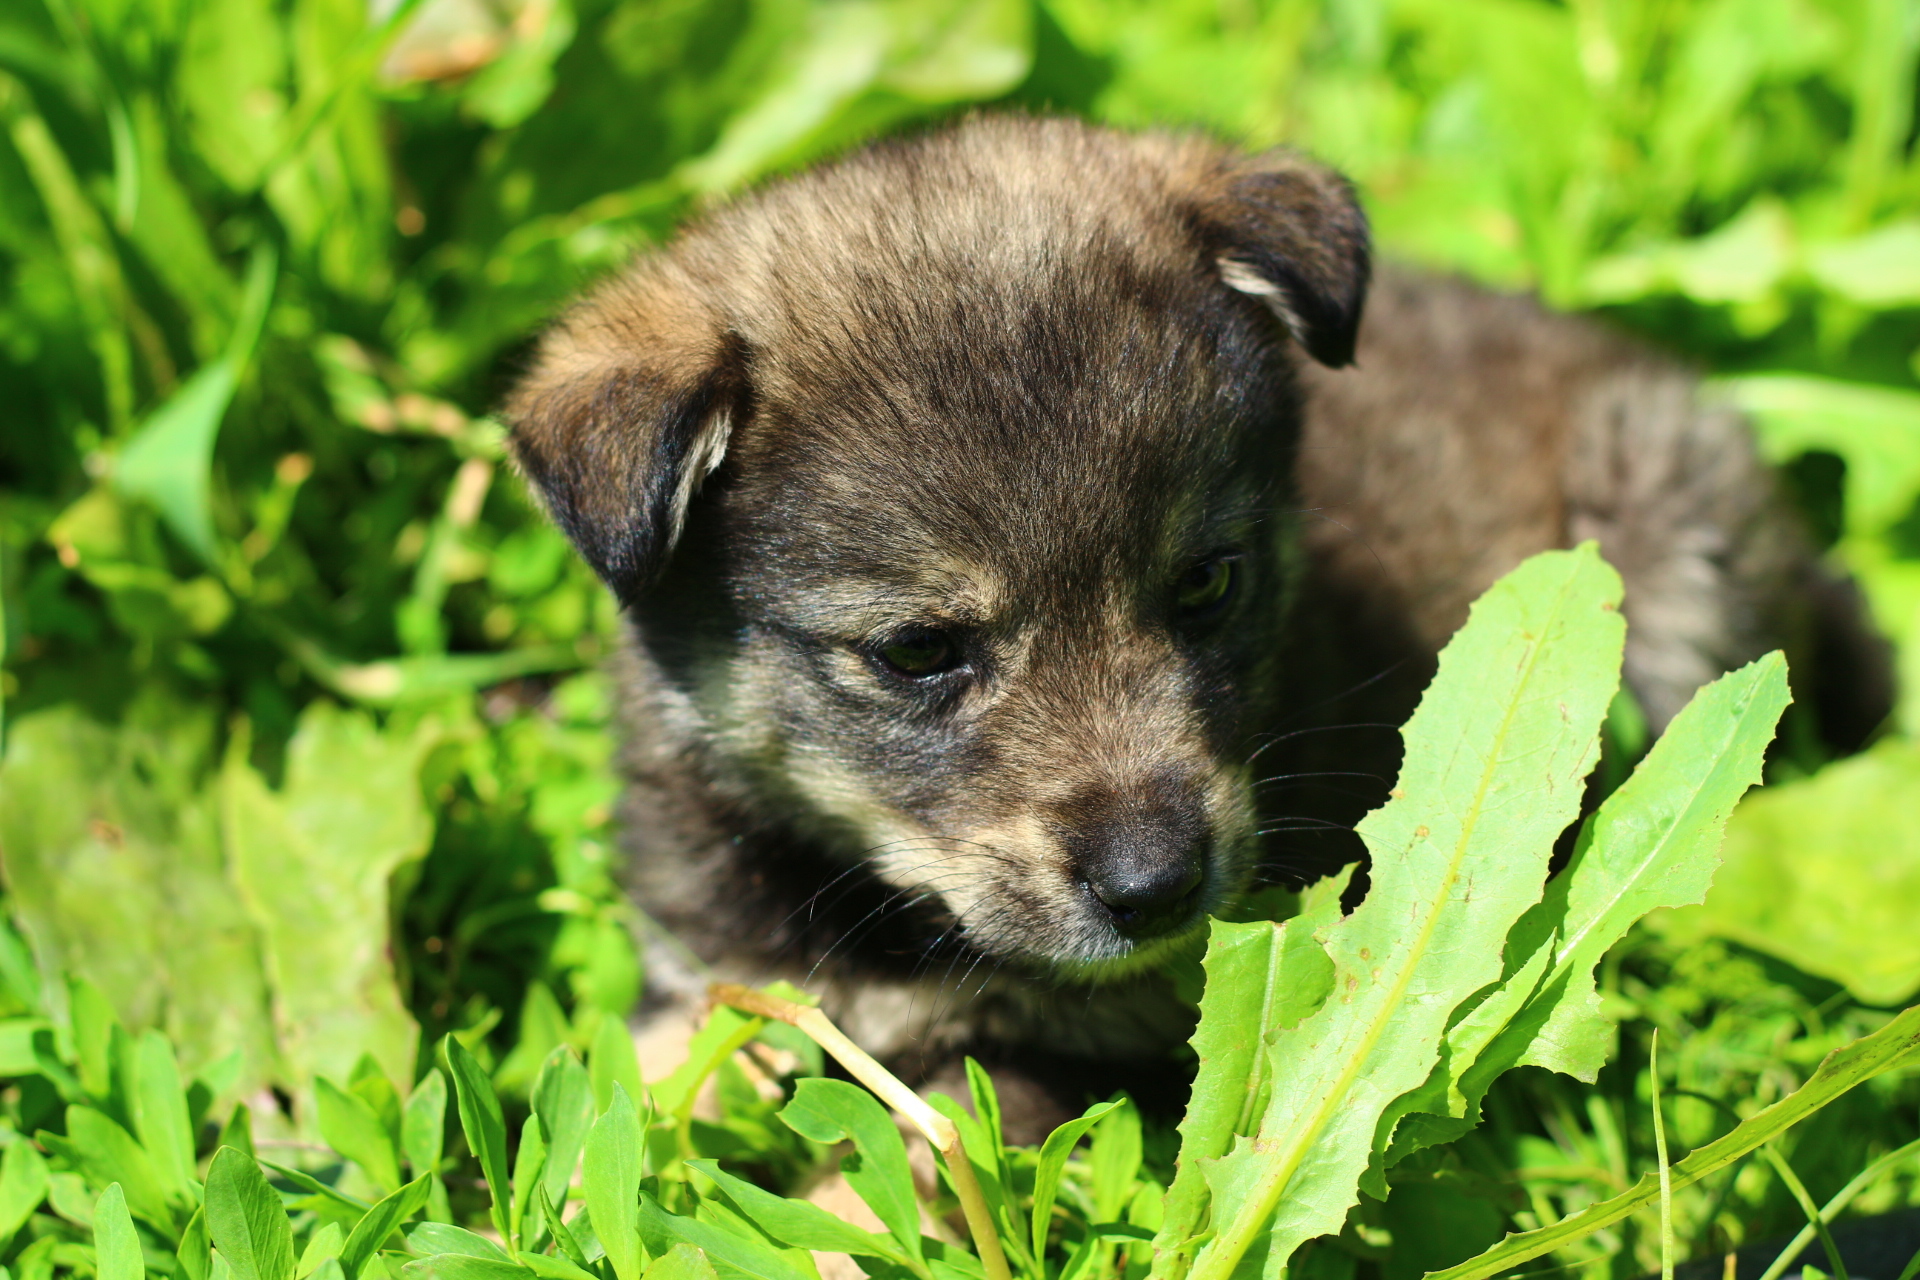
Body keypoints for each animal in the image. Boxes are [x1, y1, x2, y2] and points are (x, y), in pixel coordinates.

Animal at [506, 115, 1889, 1105]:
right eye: (919, 651)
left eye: (1208, 582)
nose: (1158, 888)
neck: (873, 912)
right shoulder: (723, 985)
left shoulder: (1048, 1056)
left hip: (1673, 536)